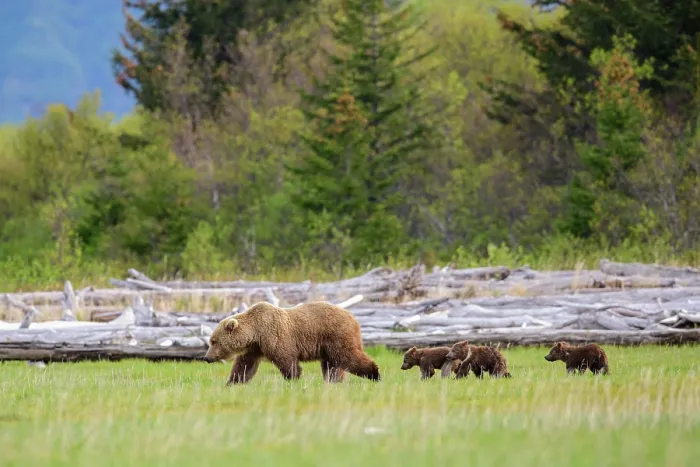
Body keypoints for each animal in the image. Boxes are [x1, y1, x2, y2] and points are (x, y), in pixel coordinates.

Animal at [203, 301, 381, 385]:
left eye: (214, 341)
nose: (207, 358)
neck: (256, 332)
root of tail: (353, 317)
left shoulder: (275, 337)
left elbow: (287, 360)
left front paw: (293, 378)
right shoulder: (255, 348)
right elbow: (245, 366)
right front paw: (232, 383)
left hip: (336, 336)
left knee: (348, 356)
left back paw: (375, 374)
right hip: (328, 346)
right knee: (332, 365)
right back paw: (333, 381)